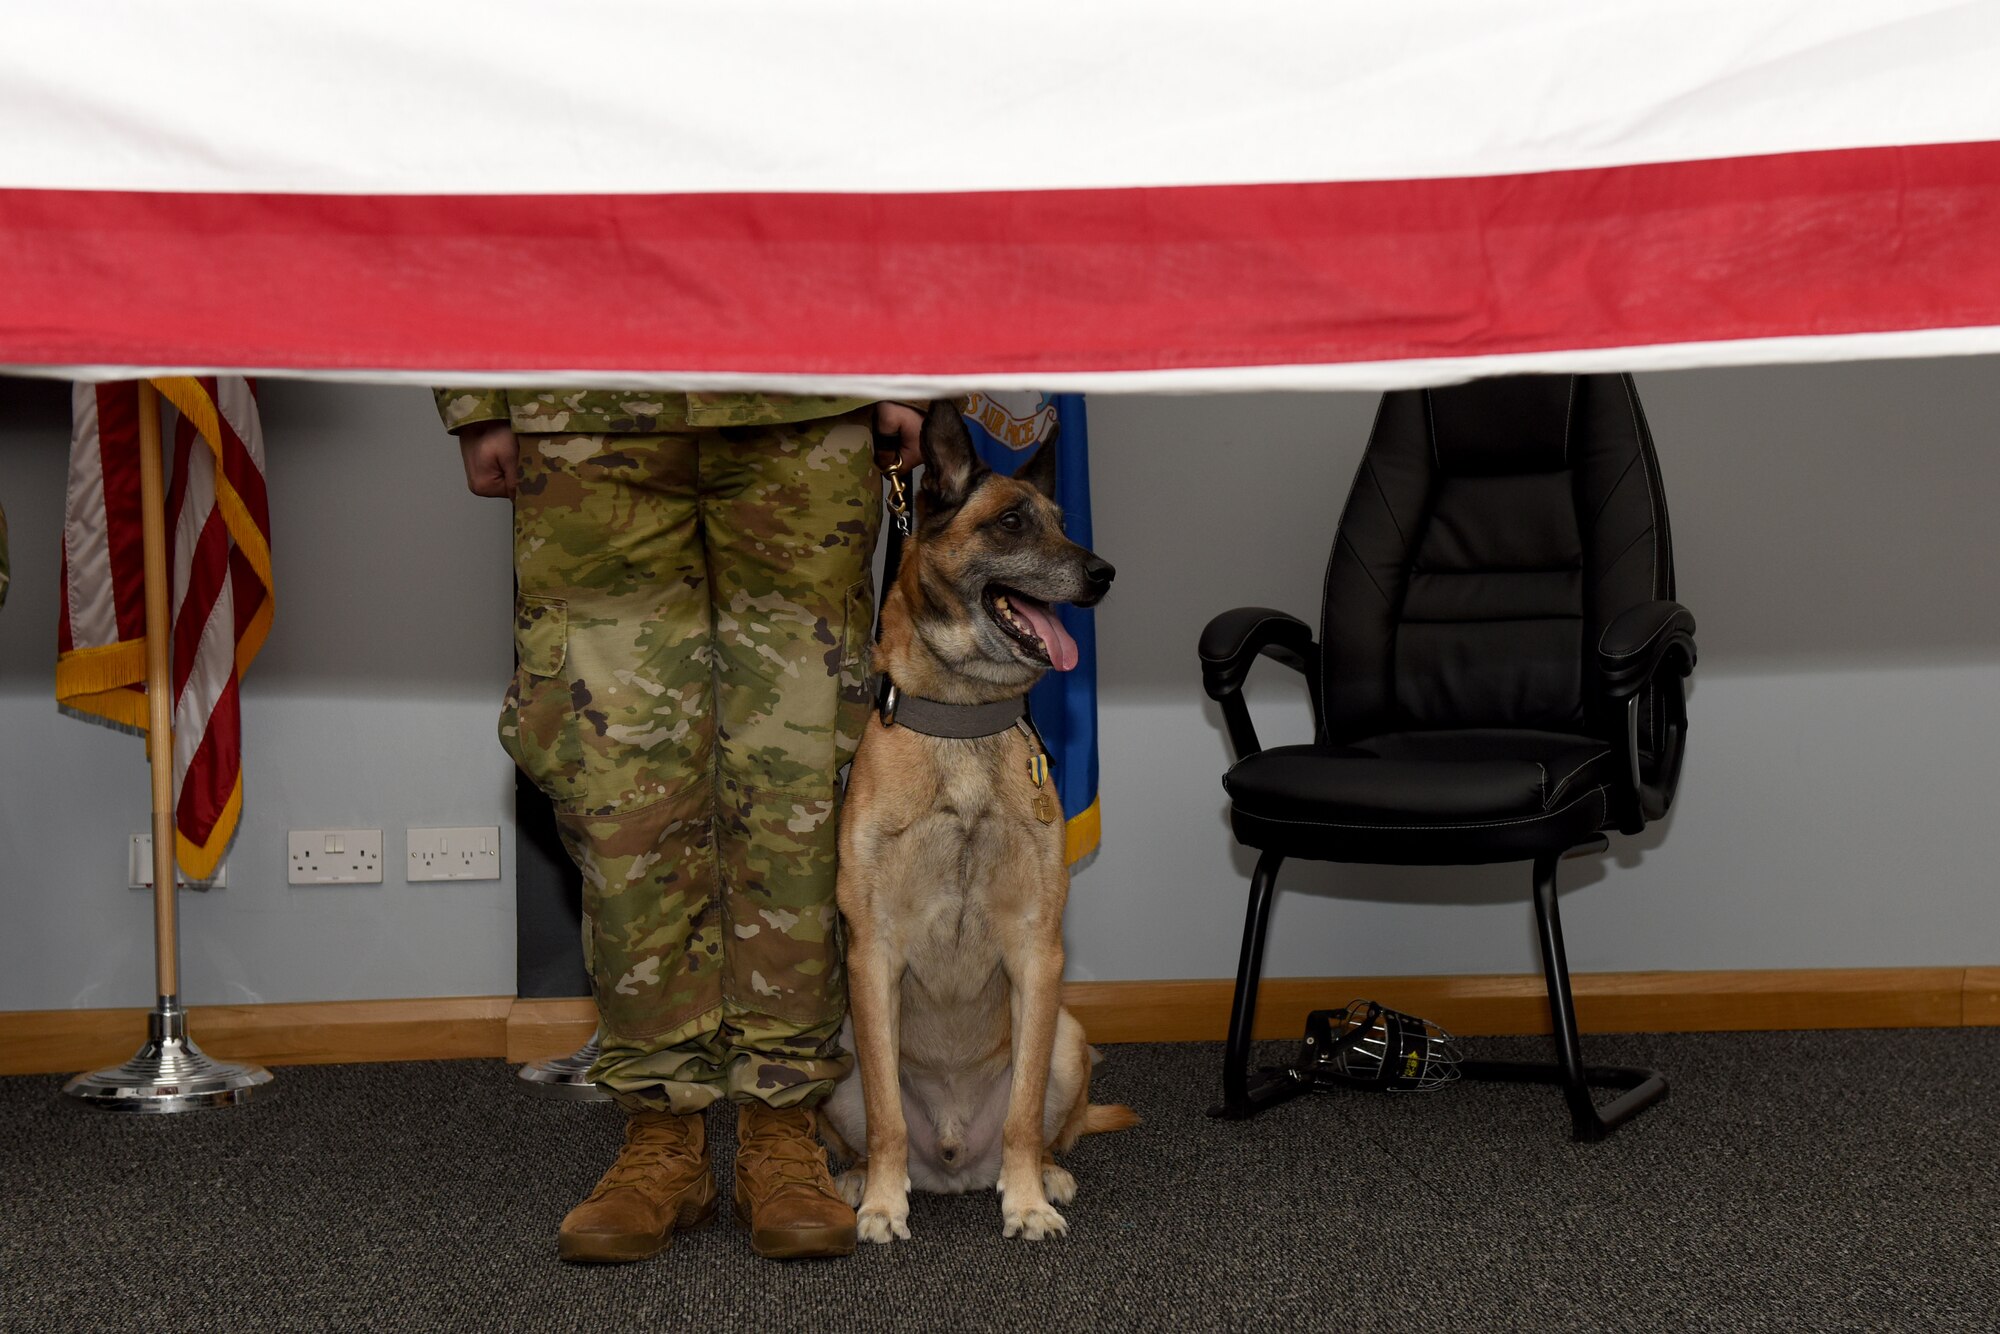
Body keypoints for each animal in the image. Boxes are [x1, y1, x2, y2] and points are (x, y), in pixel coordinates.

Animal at [820, 402, 1136, 1248]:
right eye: (1012, 522)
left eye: (1062, 523)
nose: (1102, 575)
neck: (964, 720)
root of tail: (956, 1163)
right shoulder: (874, 957)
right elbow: (889, 1116)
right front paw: (882, 1203)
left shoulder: (1037, 953)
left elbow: (1024, 1115)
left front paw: (1024, 1201)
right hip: (840, 1051)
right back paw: (856, 1178)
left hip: (1067, 1038)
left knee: (1050, 1124)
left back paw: (1047, 1175)